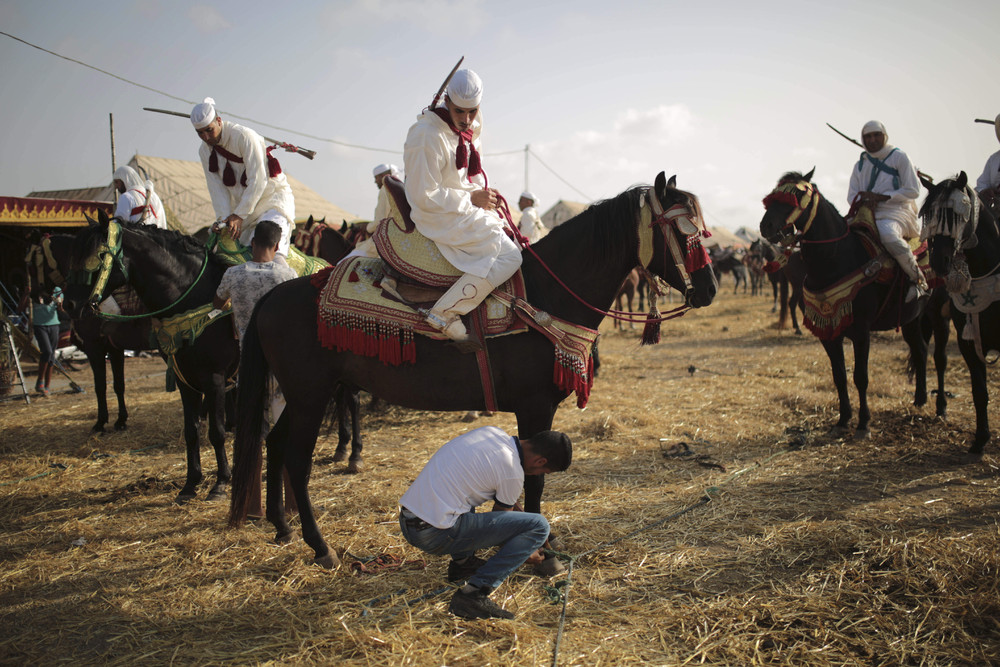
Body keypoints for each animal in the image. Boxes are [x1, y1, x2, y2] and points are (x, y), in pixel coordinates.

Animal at [64, 218, 240, 500]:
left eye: (97, 256)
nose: (68, 304)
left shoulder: (215, 378)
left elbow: (217, 432)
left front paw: (221, 482)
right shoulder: (185, 380)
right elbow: (191, 431)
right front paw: (191, 483)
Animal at [230, 174, 724, 568]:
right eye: (683, 230)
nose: (709, 289)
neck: (544, 297)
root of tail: (273, 296)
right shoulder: (535, 408)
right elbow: (535, 481)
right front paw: (544, 550)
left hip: (300, 395)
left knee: (274, 444)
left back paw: (282, 527)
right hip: (311, 394)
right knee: (295, 459)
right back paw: (320, 546)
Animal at [764, 171, 928, 438]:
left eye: (797, 195)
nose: (765, 225)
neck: (836, 259)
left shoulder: (861, 331)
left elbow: (860, 377)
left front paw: (863, 424)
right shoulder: (828, 332)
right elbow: (839, 376)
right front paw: (843, 420)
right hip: (911, 319)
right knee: (921, 350)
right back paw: (920, 399)